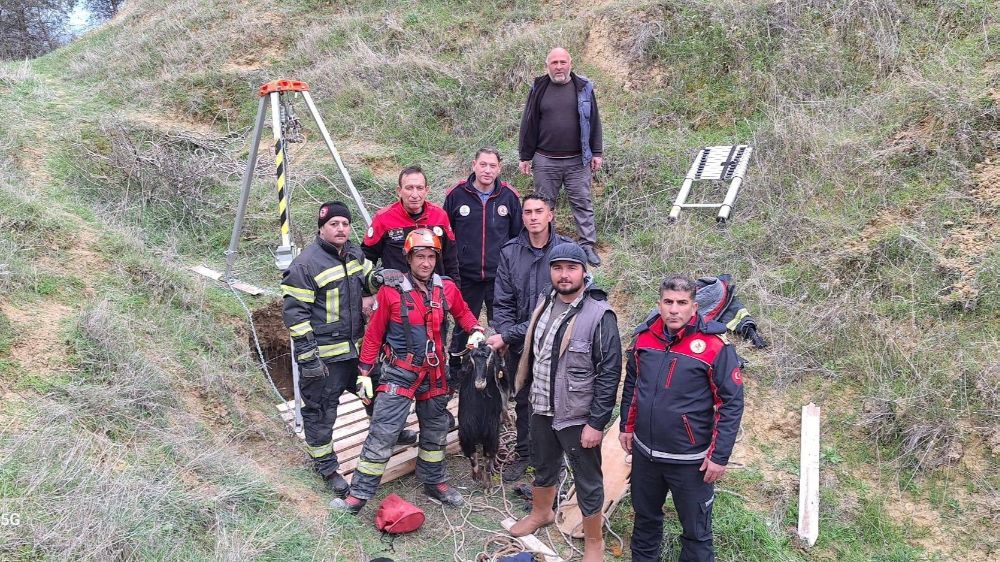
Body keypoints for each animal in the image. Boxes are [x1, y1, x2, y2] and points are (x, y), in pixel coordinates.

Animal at [458, 342, 512, 486]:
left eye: (490, 360)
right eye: (472, 361)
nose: (479, 383)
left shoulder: (491, 432)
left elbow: (488, 456)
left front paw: (488, 484)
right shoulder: (466, 432)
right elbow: (472, 456)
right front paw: (476, 476)